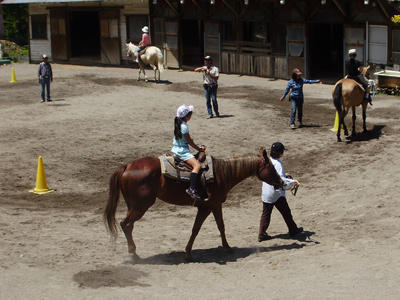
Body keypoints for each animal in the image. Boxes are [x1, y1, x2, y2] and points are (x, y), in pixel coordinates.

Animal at [104, 149, 282, 262]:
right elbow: (196, 229)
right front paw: (188, 253)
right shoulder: (205, 207)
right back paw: (134, 255)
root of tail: (127, 166)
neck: (221, 174)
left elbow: (221, 226)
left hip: (133, 206)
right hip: (141, 206)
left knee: (129, 226)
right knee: (125, 224)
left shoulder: (215, 205)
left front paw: (227, 247)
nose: (281, 181)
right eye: (272, 168)